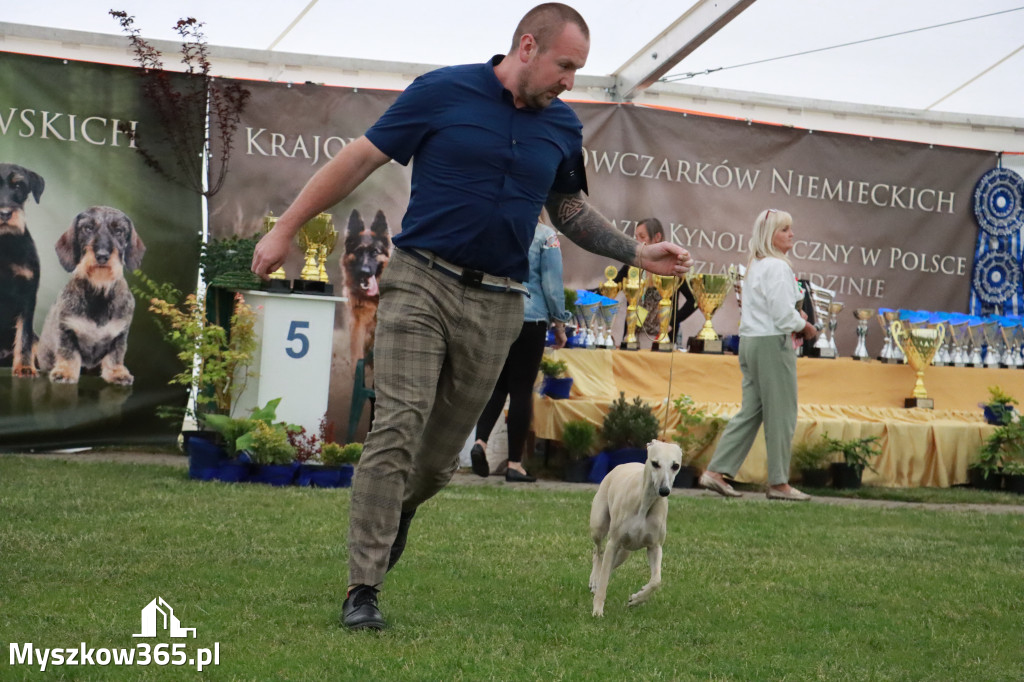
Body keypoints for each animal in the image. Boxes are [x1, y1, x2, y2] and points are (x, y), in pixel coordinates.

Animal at [589, 438, 684, 614]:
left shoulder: (655, 546)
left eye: (675, 465)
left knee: (607, 564)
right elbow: (604, 577)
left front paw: (637, 598)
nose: (664, 490)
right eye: (655, 463)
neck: (645, 503)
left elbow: (656, 580)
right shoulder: (613, 543)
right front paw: (598, 609)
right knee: (597, 553)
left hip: (624, 552)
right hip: (598, 526)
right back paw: (594, 580)